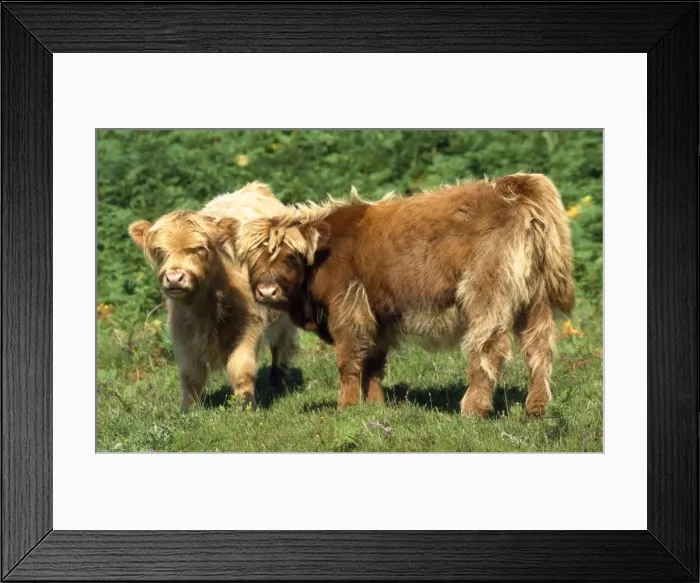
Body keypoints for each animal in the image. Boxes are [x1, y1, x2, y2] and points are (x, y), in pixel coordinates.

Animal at [128, 181, 298, 412]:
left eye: (200, 248)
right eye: (159, 251)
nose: (174, 278)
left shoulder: (250, 324)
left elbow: (241, 368)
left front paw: (246, 406)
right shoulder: (181, 330)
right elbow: (190, 374)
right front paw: (188, 410)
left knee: (281, 346)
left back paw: (277, 383)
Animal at [223, 173, 575, 418]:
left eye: (290, 257)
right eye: (251, 259)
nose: (266, 290)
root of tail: (513, 187)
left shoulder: (347, 307)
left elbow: (348, 360)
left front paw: (346, 408)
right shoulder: (376, 314)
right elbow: (374, 362)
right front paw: (376, 406)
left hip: (488, 293)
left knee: (488, 349)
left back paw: (473, 409)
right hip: (536, 300)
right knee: (539, 349)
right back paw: (537, 408)